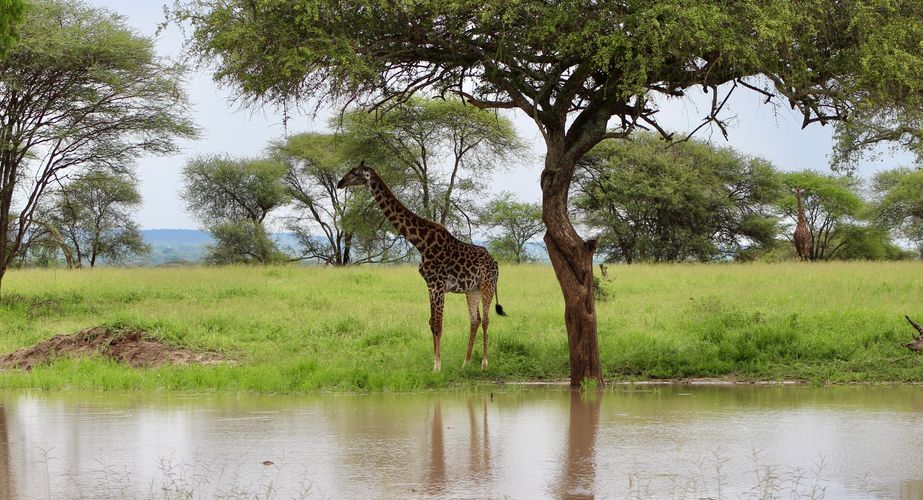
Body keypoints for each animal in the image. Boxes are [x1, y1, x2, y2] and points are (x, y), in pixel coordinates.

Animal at [337, 161, 506, 372]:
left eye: (355, 173)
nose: (339, 183)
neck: (421, 242)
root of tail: (495, 262)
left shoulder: (439, 286)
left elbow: (439, 325)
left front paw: (438, 366)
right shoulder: (430, 286)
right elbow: (432, 323)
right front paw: (434, 363)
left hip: (487, 285)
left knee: (486, 320)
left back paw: (484, 363)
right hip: (472, 289)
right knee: (475, 320)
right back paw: (465, 363)